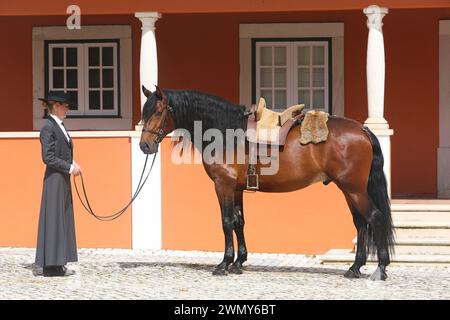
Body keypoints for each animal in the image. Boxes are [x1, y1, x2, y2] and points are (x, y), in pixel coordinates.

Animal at [140, 85, 394, 280]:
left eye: (159, 111)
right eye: (145, 112)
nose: (145, 145)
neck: (226, 133)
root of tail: (362, 128)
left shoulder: (223, 186)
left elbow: (226, 222)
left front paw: (224, 264)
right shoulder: (237, 189)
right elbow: (239, 222)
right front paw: (238, 262)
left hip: (354, 189)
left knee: (374, 218)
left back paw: (380, 269)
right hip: (350, 190)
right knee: (360, 224)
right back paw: (354, 268)